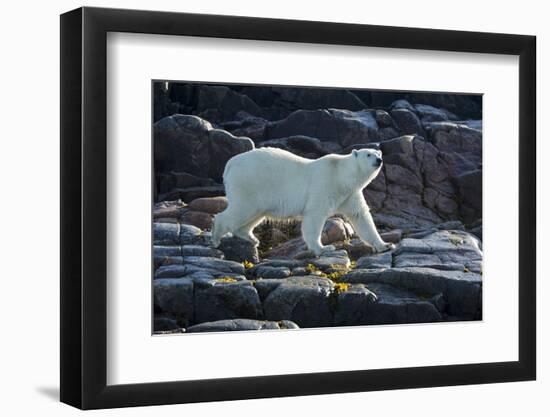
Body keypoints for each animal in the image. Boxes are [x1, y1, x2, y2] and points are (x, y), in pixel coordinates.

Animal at [212, 148, 396, 255]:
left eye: (378, 153)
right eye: (368, 154)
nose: (379, 160)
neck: (341, 175)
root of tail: (230, 164)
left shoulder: (350, 195)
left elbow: (361, 217)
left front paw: (385, 245)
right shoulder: (324, 185)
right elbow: (314, 216)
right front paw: (323, 248)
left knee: (255, 214)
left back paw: (251, 238)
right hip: (249, 183)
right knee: (241, 209)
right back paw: (215, 238)